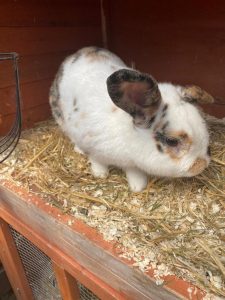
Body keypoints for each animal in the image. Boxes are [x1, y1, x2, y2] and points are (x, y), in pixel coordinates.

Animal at [49, 47, 214, 192]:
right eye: (171, 141)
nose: (202, 165)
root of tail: (77, 54)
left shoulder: (131, 163)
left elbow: (133, 172)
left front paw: (137, 186)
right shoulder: (91, 145)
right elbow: (97, 161)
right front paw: (100, 174)